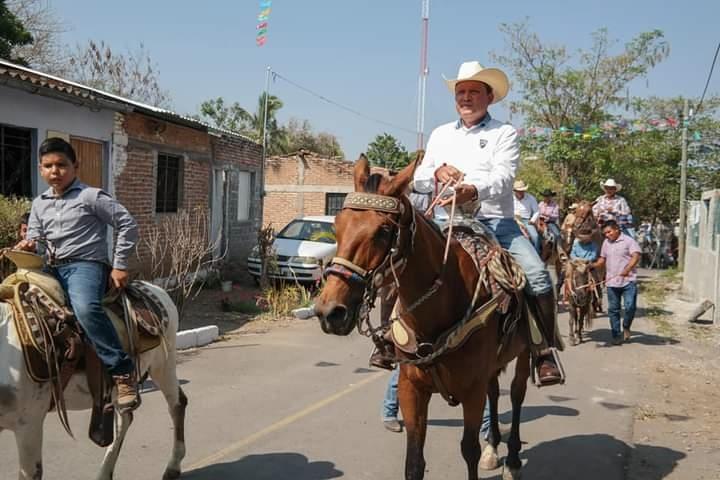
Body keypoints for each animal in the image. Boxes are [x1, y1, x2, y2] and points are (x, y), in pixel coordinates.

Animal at [316, 154, 536, 480]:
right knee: (496, 392)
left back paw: (512, 460)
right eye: (337, 227)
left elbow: (469, 450)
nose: (330, 311)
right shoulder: (412, 388)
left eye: (383, 231)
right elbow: (414, 461)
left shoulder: (472, 391)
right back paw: (493, 448)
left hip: (523, 353)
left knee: (518, 394)